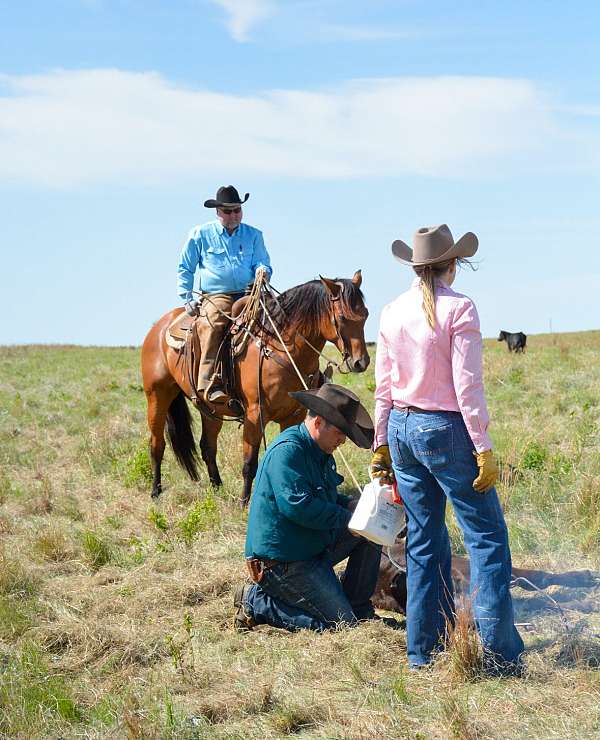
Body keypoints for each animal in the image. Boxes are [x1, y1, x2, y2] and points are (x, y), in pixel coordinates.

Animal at [141, 268, 370, 506]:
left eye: (366, 314)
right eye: (342, 318)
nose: (360, 362)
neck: (280, 347)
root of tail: (160, 326)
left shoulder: (294, 415)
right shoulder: (254, 413)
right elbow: (250, 462)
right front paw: (244, 502)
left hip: (210, 410)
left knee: (207, 446)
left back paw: (217, 488)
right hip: (157, 396)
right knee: (157, 444)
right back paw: (156, 491)